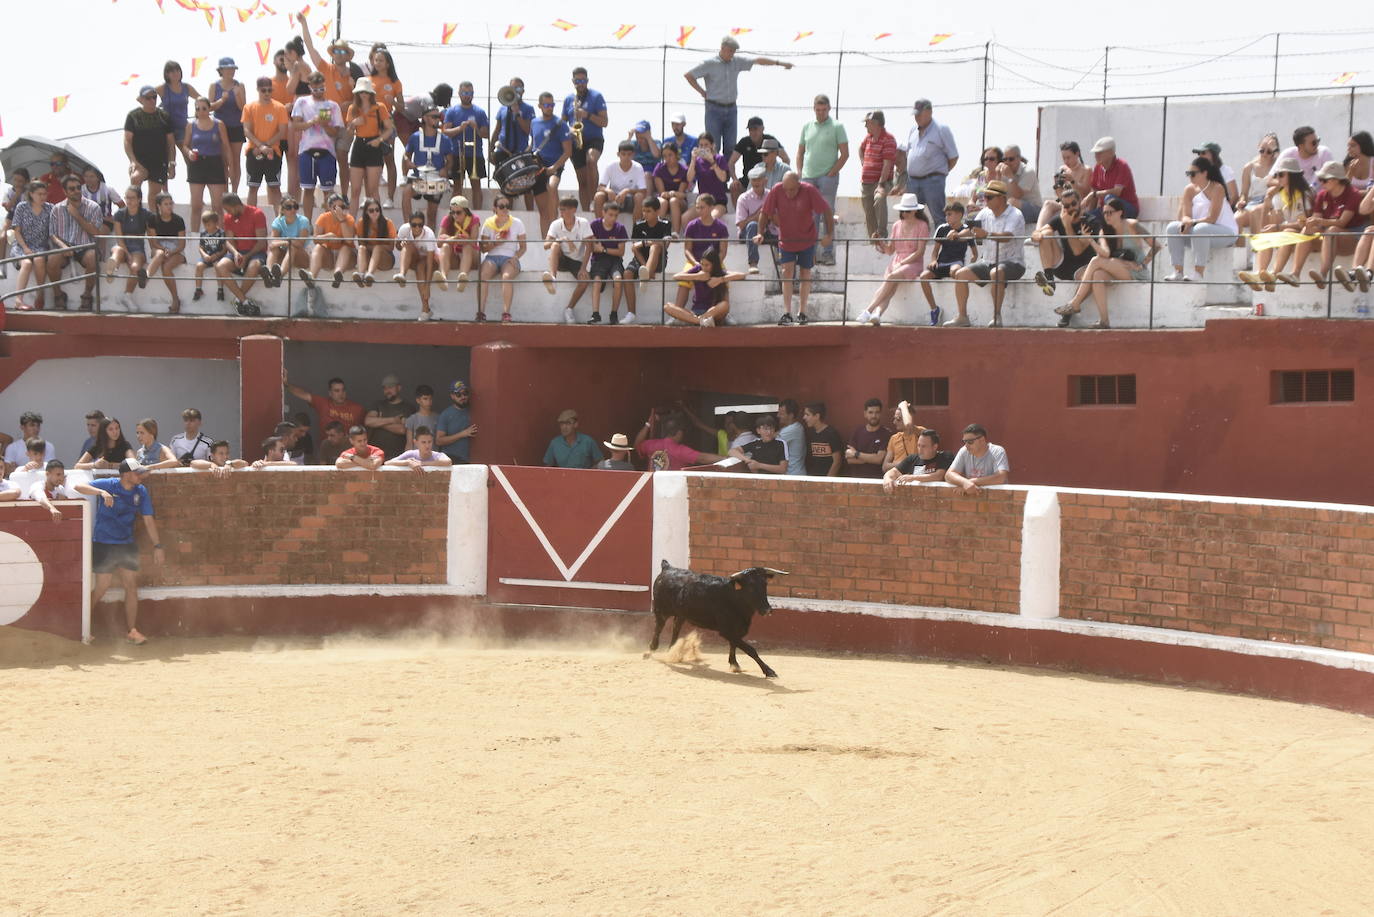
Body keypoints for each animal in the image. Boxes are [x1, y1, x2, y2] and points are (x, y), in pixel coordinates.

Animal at [648, 563, 791, 679]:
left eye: (765, 584)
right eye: (750, 587)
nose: (767, 610)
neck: (735, 598)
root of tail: (667, 568)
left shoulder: (736, 629)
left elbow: (734, 645)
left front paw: (734, 664)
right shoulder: (726, 631)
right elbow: (750, 649)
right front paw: (769, 671)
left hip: (681, 615)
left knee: (675, 629)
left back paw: (672, 652)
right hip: (661, 611)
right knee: (658, 629)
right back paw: (651, 650)